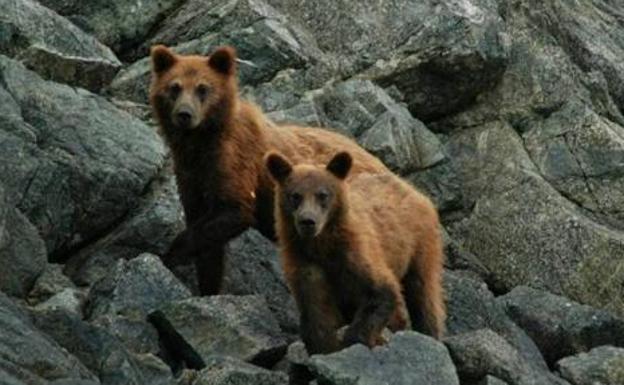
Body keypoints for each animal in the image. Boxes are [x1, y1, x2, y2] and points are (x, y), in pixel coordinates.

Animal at [149, 44, 388, 292]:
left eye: (202, 88)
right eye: (174, 87)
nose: (184, 114)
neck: (200, 142)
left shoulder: (234, 160)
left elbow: (233, 209)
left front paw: (169, 255)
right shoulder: (191, 173)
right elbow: (206, 237)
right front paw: (207, 287)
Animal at [266, 151, 446, 354]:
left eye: (323, 194)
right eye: (295, 195)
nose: (308, 221)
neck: (321, 247)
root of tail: (410, 187)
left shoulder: (355, 255)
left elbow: (381, 292)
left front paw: (353, 340)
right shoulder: (305, 264)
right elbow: (316, 310)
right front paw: (324, 347)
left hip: (420, 244)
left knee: (423, 292)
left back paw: (429, 333)